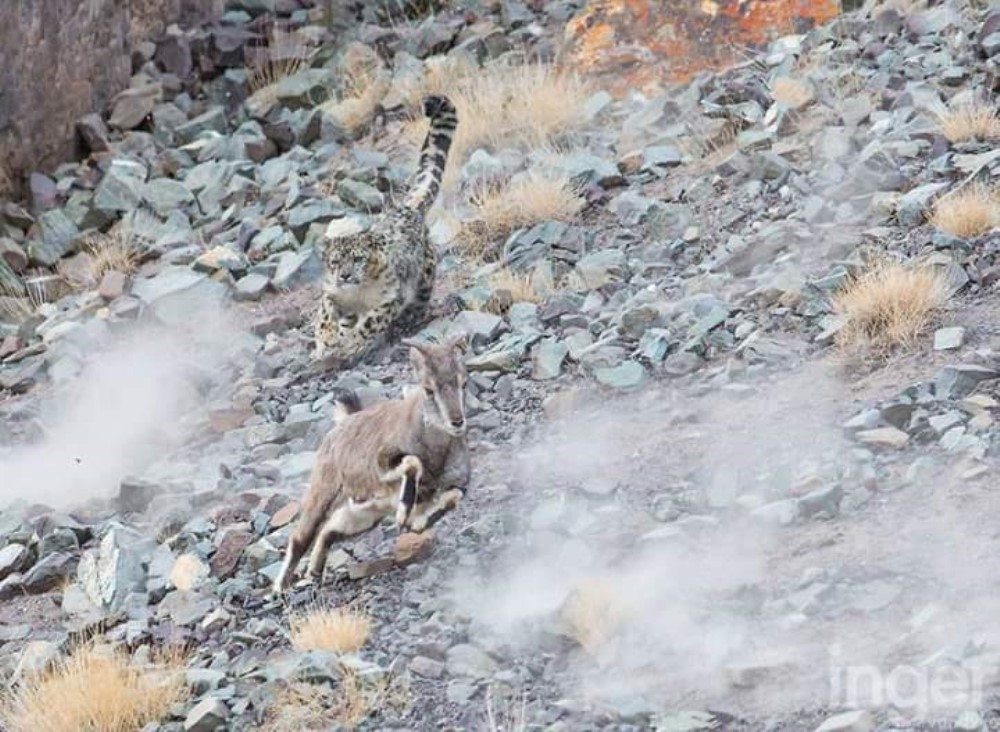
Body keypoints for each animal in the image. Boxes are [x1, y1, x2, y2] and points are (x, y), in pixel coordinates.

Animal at [310, 94, 458, 371]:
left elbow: (369, 324)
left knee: (419, 302)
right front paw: (327, 340)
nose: (345, 275)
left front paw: (351, 344)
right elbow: (325, 314)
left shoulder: (388, 300)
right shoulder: (332, 294)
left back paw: (407, 322)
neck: (357, 294)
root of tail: (407, 208)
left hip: (424, 278)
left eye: (358, 258)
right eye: (335, 261)